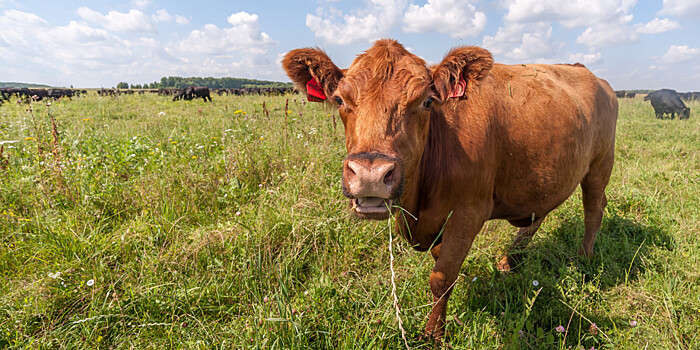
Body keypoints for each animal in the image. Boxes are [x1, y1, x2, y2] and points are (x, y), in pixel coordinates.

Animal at [282, 39, 616, 340]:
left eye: (426, 102)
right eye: (340, 100)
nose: (370, 174)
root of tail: (591, 74)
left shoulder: (469, 212)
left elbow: (442, 278)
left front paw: (433, 334)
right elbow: (440, 258)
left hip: (600, 164)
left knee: (593, 209)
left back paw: (584, 260)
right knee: (538, 215)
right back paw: (511, 260)